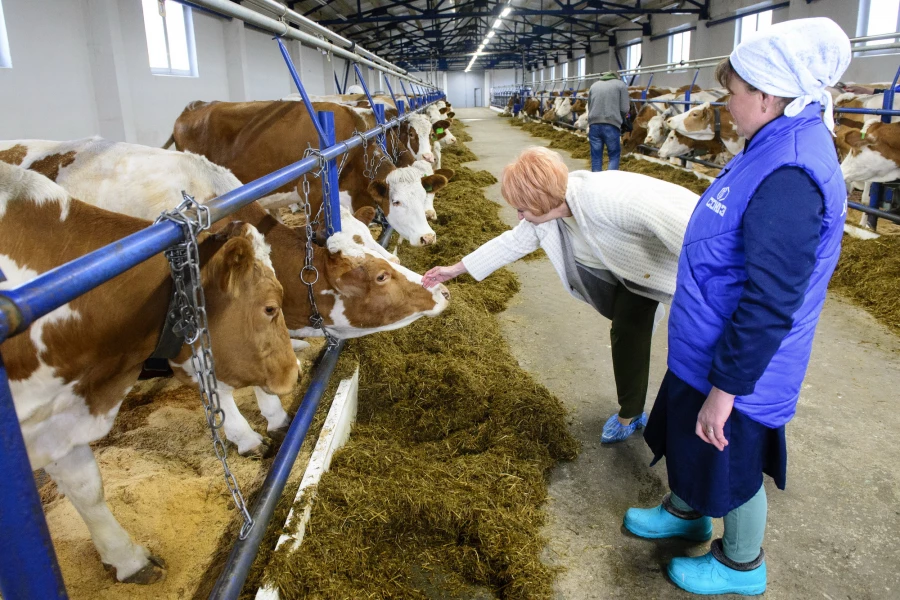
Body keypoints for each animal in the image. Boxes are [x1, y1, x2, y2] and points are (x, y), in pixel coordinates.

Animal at [0, 137, 450, 454]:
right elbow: (220, 386)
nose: (442, 289)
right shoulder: (188, 333)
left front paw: (275, 415)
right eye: (380, 276)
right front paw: (246, 435)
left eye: (386, 255)